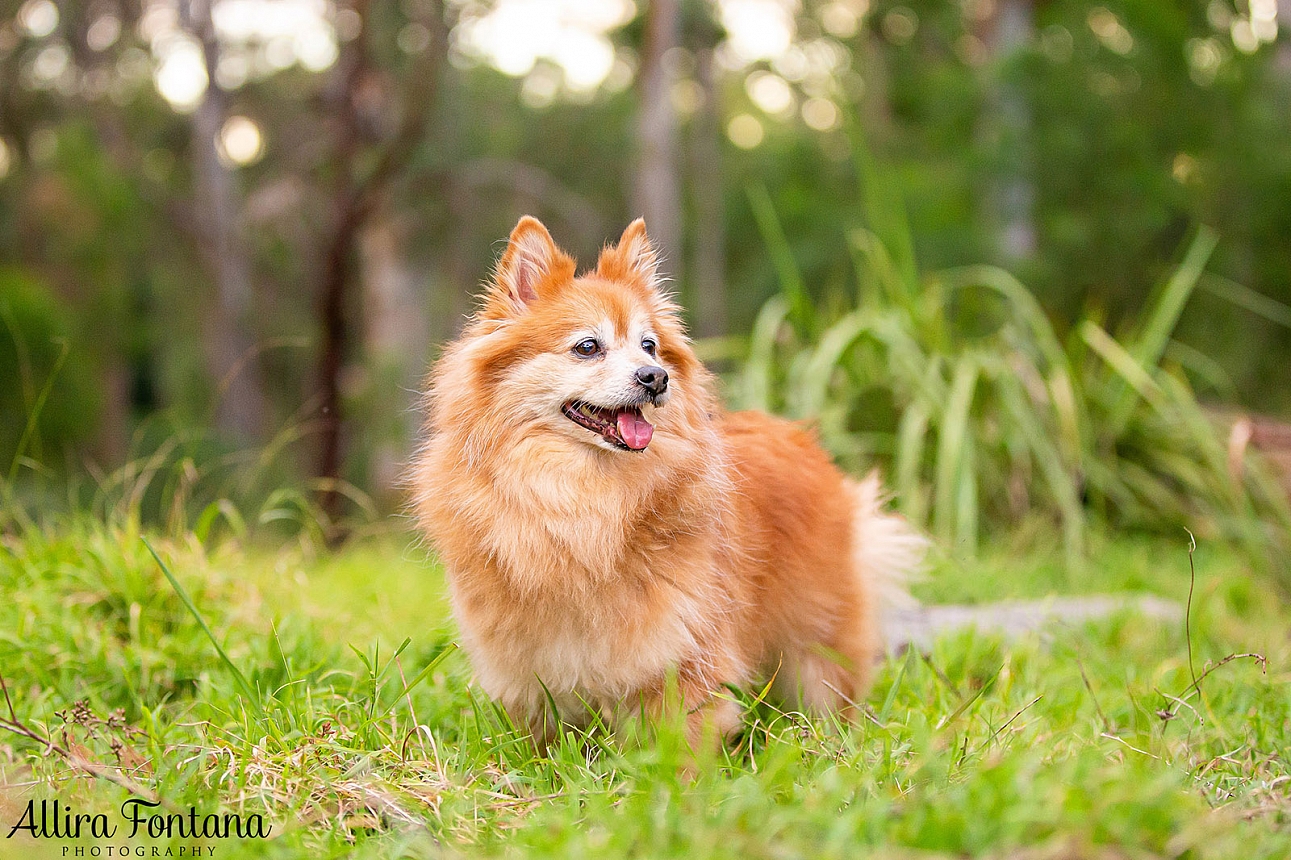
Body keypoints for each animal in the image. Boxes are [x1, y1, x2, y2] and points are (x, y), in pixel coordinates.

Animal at [407, 218, 924, 748]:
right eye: (588, 347)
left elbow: (679, 742)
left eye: (649, 346)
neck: (584, 494)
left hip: (816, 644)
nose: (655, 377)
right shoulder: (525, 667)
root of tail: (800, 435)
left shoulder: (685, 646)